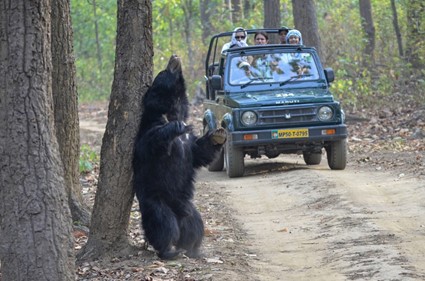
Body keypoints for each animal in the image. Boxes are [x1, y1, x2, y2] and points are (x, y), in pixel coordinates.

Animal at [133, 54, 227, 258]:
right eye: (163, 72)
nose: (174, 57)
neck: (172, 112)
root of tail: (179, 213)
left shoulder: (189, 143)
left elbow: (201, 152)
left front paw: (218, 134)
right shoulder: (149, 132)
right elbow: (155, 142)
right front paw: (176, 126)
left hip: (189, 209)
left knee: (195, 225)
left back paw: (194, 248)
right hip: (156, 201)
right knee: (163, 224)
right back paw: (169, 250)